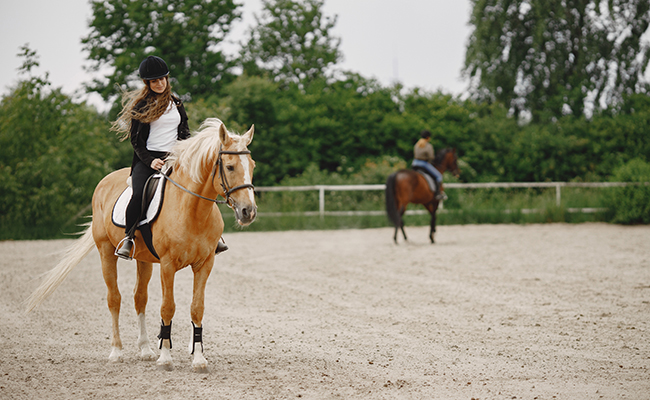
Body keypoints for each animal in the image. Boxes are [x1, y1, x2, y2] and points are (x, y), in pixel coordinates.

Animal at [27, 118, 256, 372]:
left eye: (252, 165)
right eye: (230, 167)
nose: (248, 211)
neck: (192, 209)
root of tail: (105, 181)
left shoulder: (205, 264)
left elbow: (197, 308)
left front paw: (198, 359)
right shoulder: (167, 265)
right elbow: (167, 307)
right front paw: (165, 357)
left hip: (144, 260)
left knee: (140, 298)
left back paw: (146, 349)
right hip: (106, 252)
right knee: (114, 298)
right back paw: (116, 351)